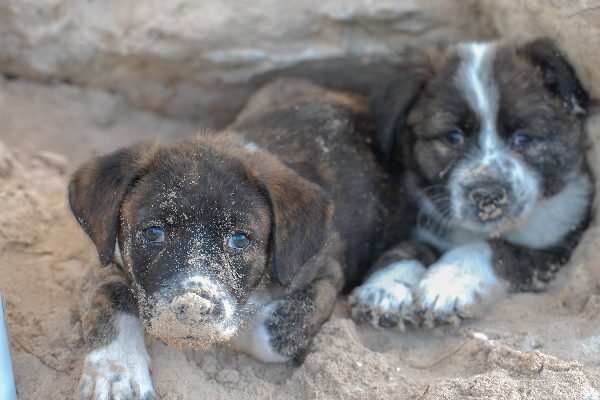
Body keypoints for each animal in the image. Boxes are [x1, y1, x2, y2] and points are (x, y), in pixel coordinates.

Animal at [69, 81, 394, 400]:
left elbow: (272, 330)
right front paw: (115, 372)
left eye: (239, 239)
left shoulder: (325, 272)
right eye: (153, 232)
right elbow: (110, 294)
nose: (192, 308)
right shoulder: (107, 256)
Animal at [350, 37, 592, 330]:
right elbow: (409, 248)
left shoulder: (554, 252)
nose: (487, 195)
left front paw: (450, 282)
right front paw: (387, 286)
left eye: (523, 137)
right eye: (453, 136)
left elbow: (494, 248)